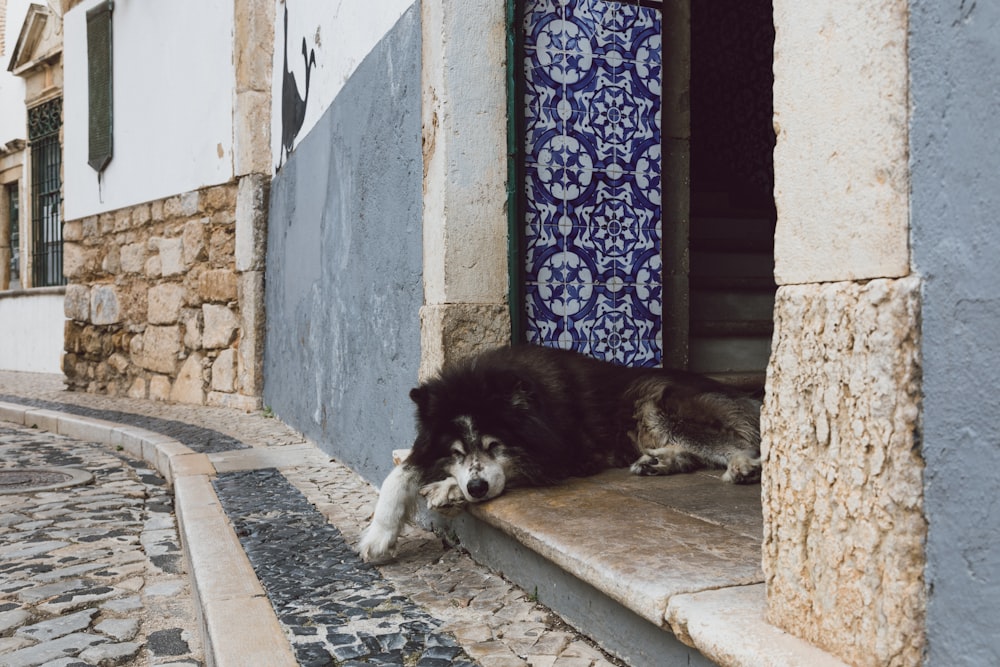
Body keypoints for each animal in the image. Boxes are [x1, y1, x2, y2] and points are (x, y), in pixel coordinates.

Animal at [360, 344, 756, 564]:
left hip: (656, 407)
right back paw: (658, 462)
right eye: (456, 451)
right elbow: (399, 474)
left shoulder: (565, 457)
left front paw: (447, 488)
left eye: (494, 445)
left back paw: (743, 467)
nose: (475, 489)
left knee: (740, 443)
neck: (540, 409)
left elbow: (508, 471)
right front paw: (379, 535)